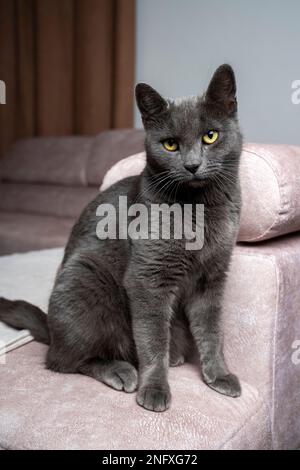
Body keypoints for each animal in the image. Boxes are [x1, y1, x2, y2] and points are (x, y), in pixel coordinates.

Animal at [0, 65, 243, 412]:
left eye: (210, 136)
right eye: (170, 144)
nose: (192, 165)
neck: (200, 209)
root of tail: (50, 329)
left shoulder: (211, 278)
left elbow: (212, 332)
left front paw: (219, 376)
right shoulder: (147, 279)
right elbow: (152, 339)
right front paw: (154, 389)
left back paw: (174, 356)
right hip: (84, 278)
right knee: (65, 360)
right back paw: (121, 371)